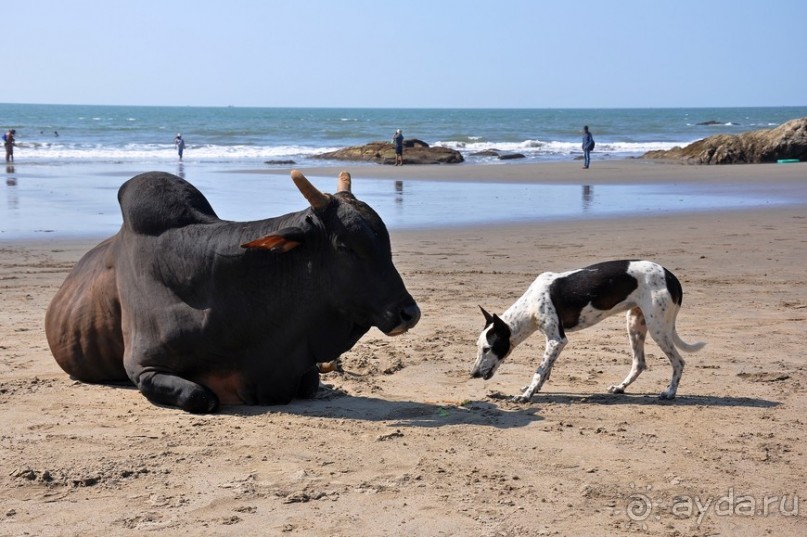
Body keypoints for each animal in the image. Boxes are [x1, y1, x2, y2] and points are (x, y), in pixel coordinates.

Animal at [470, 260, 704, 402]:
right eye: (478, 347)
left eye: (487, 348)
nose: (473, 374)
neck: (531, 304)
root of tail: (671, 276)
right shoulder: (553, 342)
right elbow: (546, 369)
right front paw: (534, 389)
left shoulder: (557, 340)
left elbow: (540, 369)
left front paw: (527, 394)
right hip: (635, 325)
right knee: (639, 363)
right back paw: (620, 387)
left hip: (658, 329)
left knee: (679, 362)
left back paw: (670, 392)